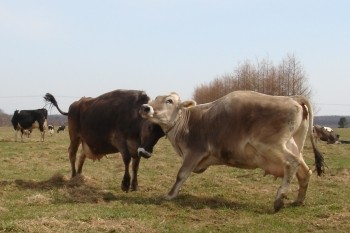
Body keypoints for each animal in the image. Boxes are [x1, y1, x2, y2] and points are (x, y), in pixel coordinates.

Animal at [139, 90, 326, 212]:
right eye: (155, 98)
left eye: (169, 100)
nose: (145, 107)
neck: (186, 123)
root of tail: (291, 98)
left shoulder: (194, 151)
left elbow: (181, 174)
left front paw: (170, 195)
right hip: (293, 145)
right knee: (305, 171)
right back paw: (299, 200)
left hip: (272, 145)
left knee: (292, 163)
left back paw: (279, 198)